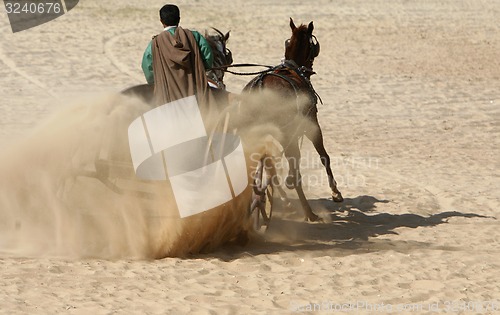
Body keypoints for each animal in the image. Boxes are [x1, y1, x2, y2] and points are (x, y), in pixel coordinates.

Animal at [240, 17, 342, 222]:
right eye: (314, 46)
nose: (310, 68)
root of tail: (261, 88)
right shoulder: (312, 125)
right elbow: (324, 157)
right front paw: (335, 192)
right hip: (286, 133)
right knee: (293, 171)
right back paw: (309, 212)